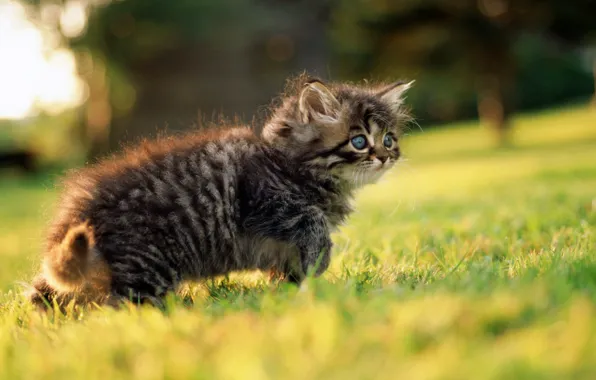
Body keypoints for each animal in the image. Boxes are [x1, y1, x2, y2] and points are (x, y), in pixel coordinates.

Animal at [25, 75, 412, 308]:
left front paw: (291, 289)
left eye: (389, 139)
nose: (385, 156)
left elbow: (289, 269)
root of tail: (75, 213)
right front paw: (320, 259)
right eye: (359, 141)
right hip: (147, 265)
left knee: (48, 294)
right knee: (121, 306)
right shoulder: (261, 200)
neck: (288, 164)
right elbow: (312, 220)